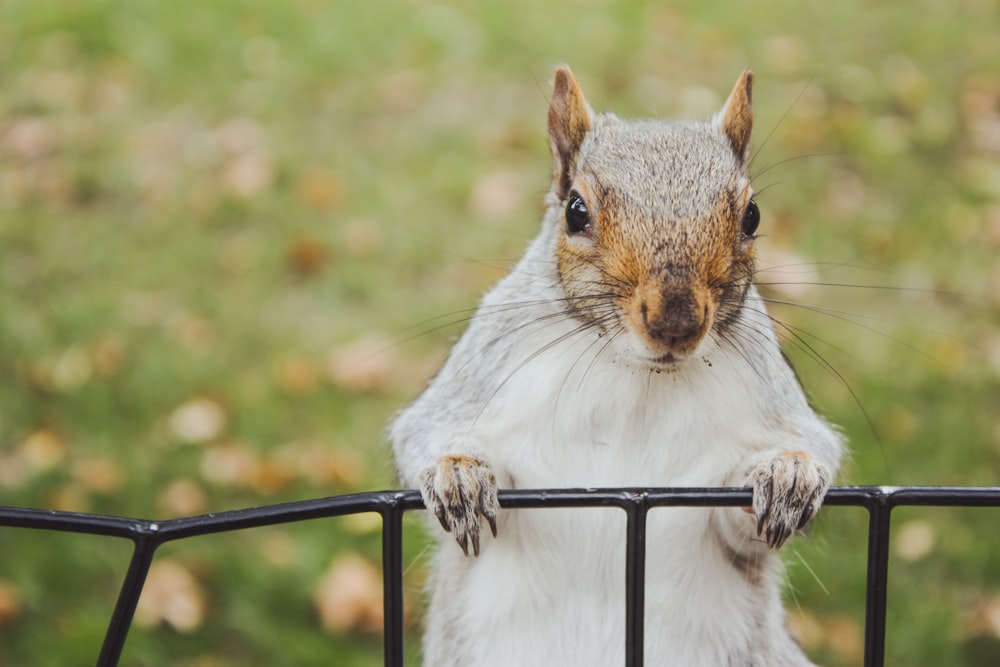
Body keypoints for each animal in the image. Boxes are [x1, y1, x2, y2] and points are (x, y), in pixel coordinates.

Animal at [390, 66, 844, 667]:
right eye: (575, 211)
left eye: (752, 215)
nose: (675, 320)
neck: (638, 379)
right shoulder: (485, 375)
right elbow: (428, 436)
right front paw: (458, 475)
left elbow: (756, 504)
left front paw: (787, 473)